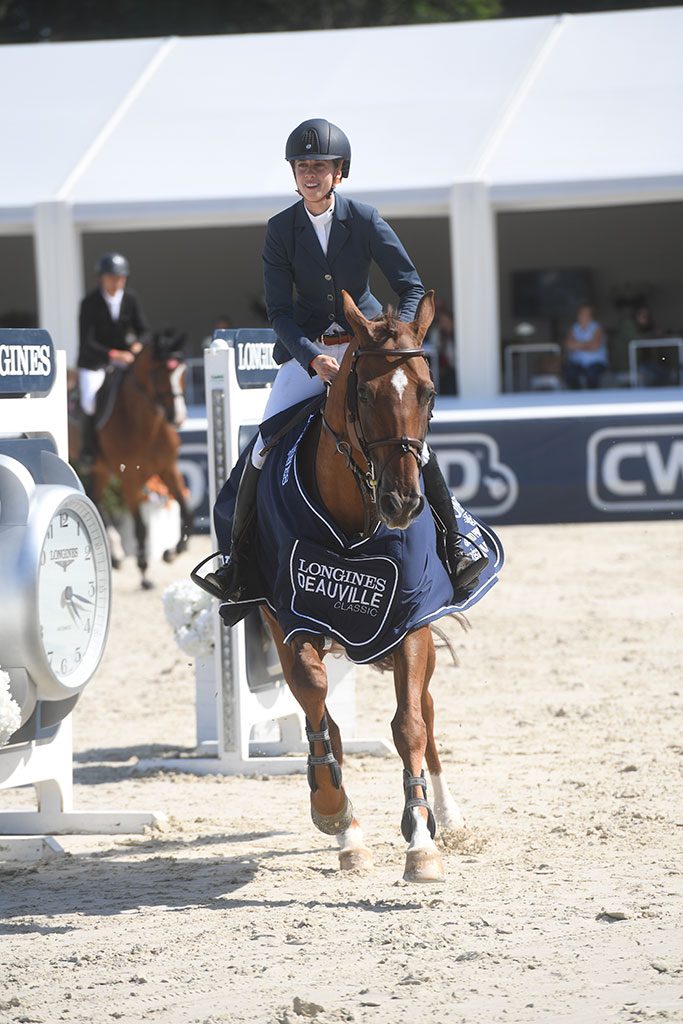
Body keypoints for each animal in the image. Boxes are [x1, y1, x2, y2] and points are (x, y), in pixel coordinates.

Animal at [89, 323, 193, 589]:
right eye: (159, 372)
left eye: (183, 370)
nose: (178, 418)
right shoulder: (130, 479)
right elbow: (140, 528)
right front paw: (145, 571)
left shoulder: (168, 468)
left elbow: (186, 510)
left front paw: (172, 552)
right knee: (97, 501)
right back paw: (117, 555)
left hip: (102, 471)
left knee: (97, 499)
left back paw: (116, 556)